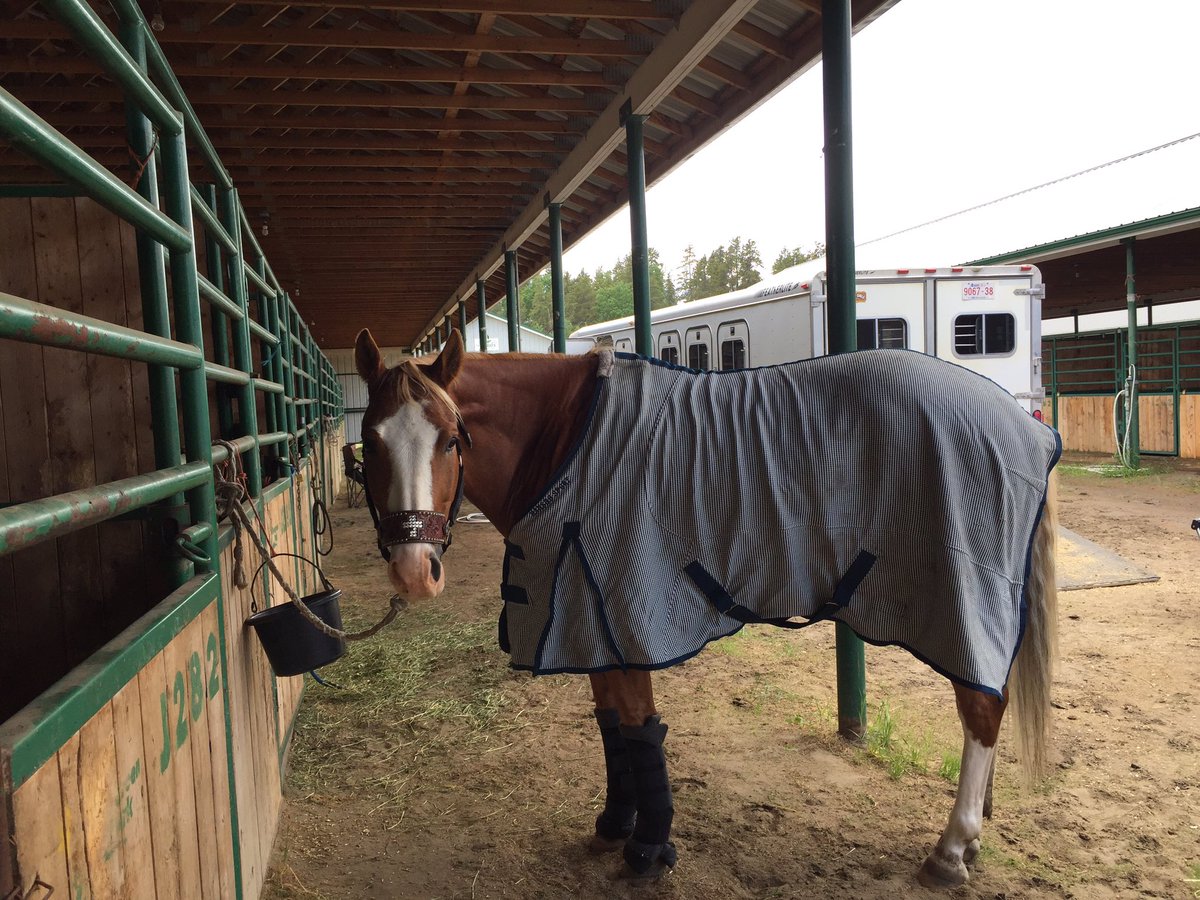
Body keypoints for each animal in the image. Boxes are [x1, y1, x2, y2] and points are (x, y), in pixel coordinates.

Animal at [353, 327, 1059, 888]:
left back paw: (951, 850)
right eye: (369, 443)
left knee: (982, 709)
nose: (414, 572)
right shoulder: (583, 618)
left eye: (451, 439)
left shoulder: (622, 606)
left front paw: (648, 849)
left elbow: (639, 724)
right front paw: (614, 825)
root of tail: (1023, 423)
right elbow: (612, 727)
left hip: (966, 600)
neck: (567, 435)